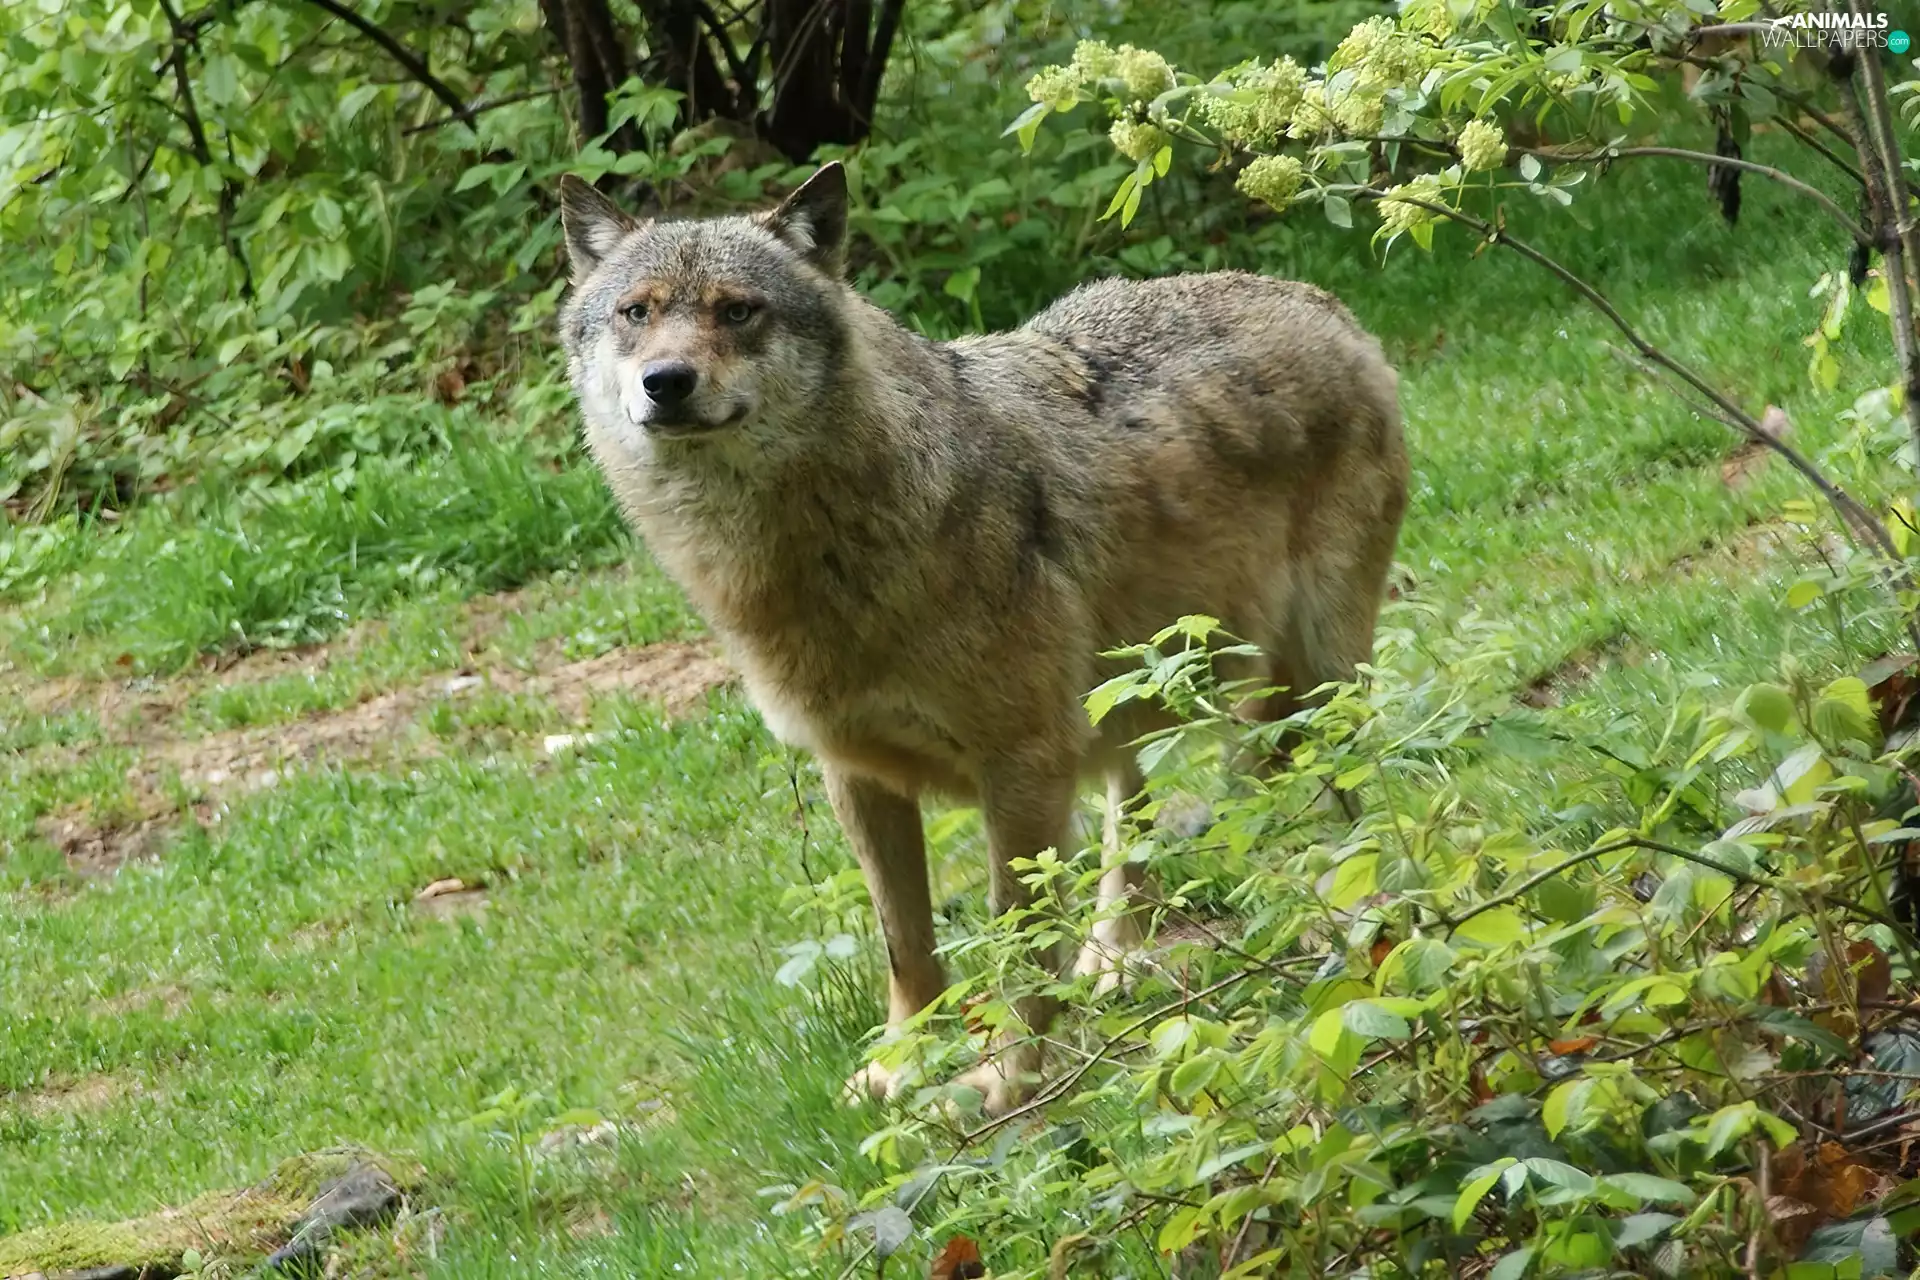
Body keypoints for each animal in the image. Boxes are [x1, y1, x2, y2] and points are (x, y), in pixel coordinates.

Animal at [556, 162, 1408, 1115]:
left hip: (1313, 682)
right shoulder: (857, 776)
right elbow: (908, 947)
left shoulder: (1022, 764)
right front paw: (902, 1067)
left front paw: (1008, 1082)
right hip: (1126, 700)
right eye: (637, 312)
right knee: (1131, 817)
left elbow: (1019, 941)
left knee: (1350, 798)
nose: (665, 381)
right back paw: (1115, 959)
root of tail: (1318, 299)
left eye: (738, 310)